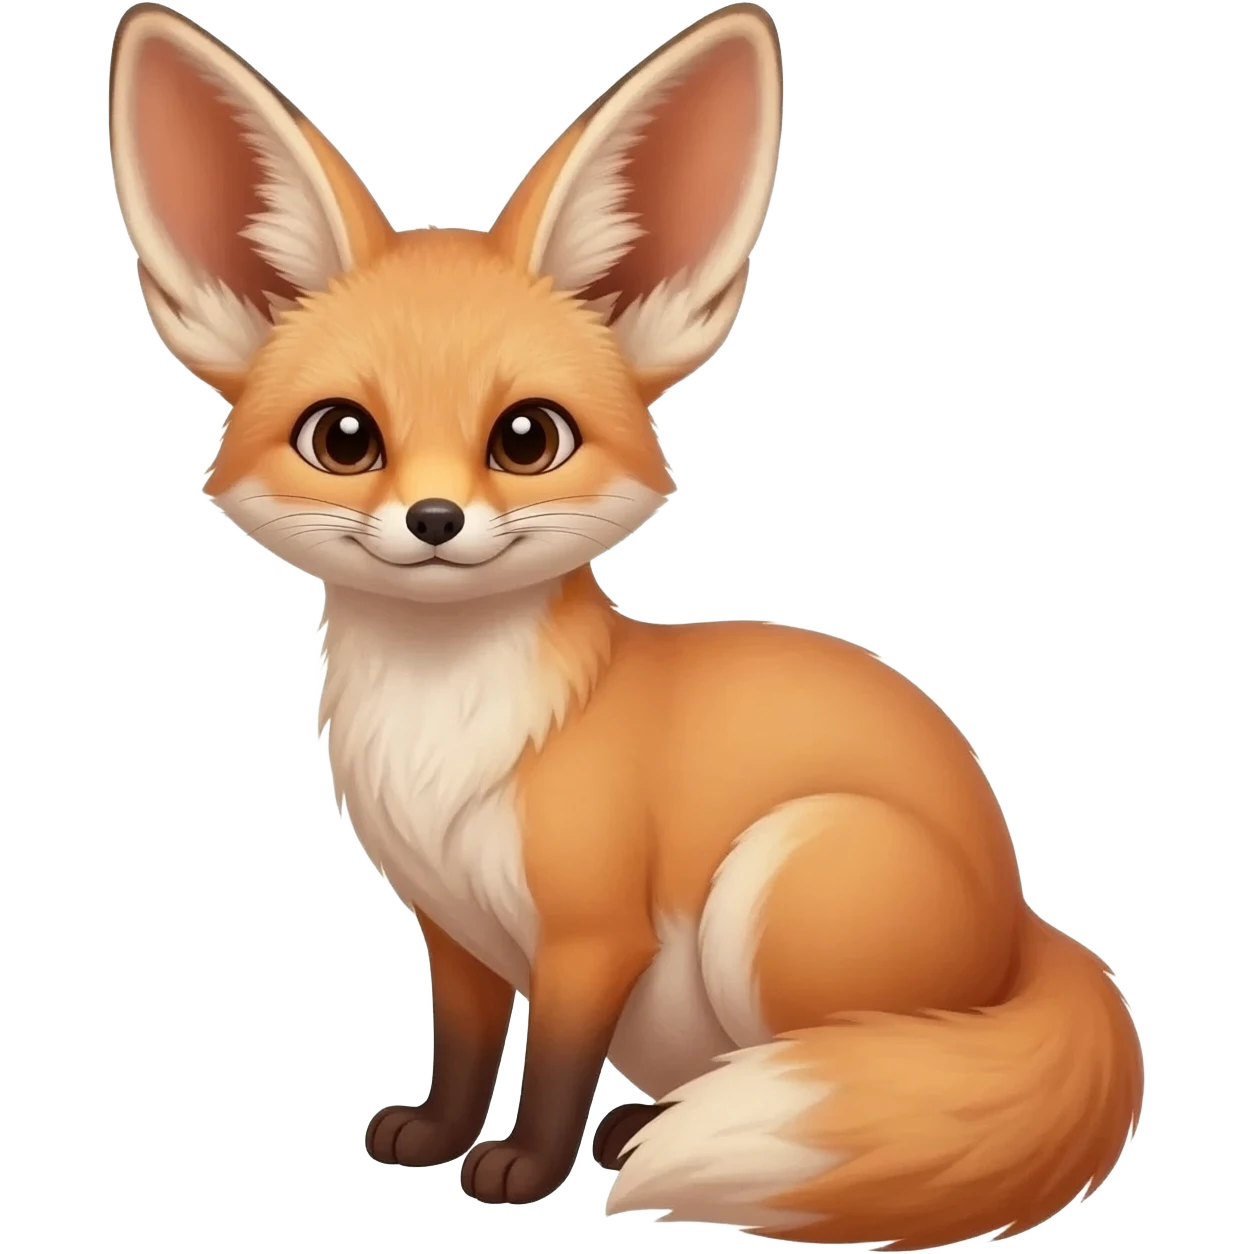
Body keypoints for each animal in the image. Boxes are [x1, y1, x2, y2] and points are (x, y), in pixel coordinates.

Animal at [108, 2, 1144, 1248]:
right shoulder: (453, 931)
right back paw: (649, 1124)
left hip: (786, 878)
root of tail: (1025, 929)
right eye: (344, 437)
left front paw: (524, 1167)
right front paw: (436, 1135)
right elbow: (464, 1050)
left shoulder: (593, 935)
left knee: (855, 1067)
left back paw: (678, 1132)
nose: (435, 520)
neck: (442, 736)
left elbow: (556, 1062)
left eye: (527, 437)